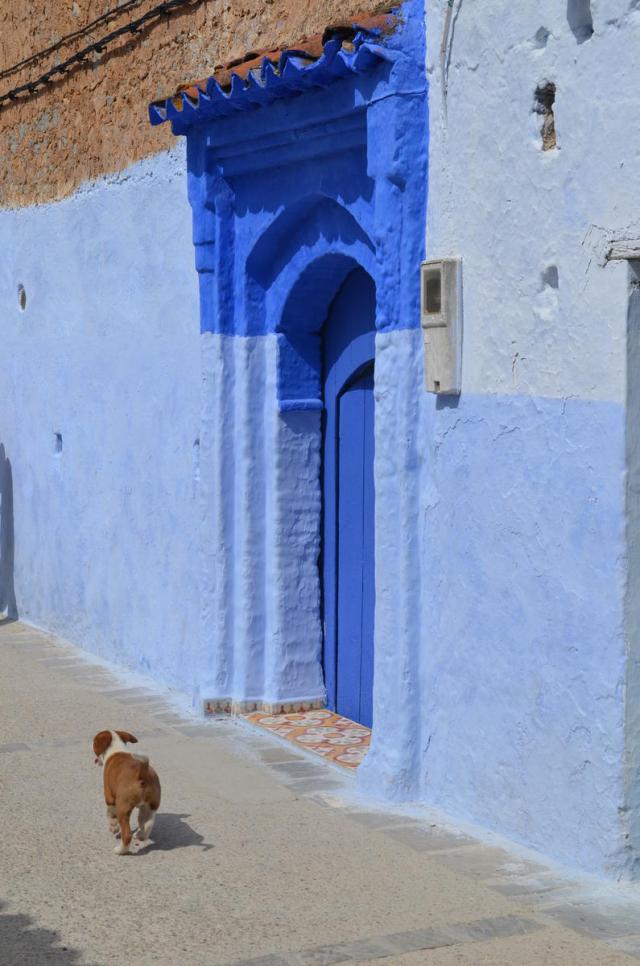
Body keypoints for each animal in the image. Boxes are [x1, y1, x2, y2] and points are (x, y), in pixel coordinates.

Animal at [92, 728, 162, 860]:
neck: (116, 748)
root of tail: (142, 772)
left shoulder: (109, 796)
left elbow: (110, 813)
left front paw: (113, 827)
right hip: (150, 806)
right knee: (147, 825)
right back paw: (140, 835)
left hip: (123, 808)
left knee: (127, 834)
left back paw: (120, 850)